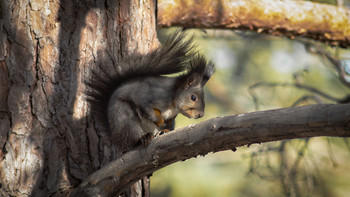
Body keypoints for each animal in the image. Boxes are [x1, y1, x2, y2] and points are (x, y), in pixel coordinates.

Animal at [85, 32, 216, 155]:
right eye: (193, 97)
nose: (201, 115)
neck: (173, 104)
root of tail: (116, 138)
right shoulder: (150, 97)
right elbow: (149, 110)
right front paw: (160, 121)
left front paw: (166, 122)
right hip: (124, 119)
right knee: (131, 141)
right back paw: (143, 138)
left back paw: (164, 131)